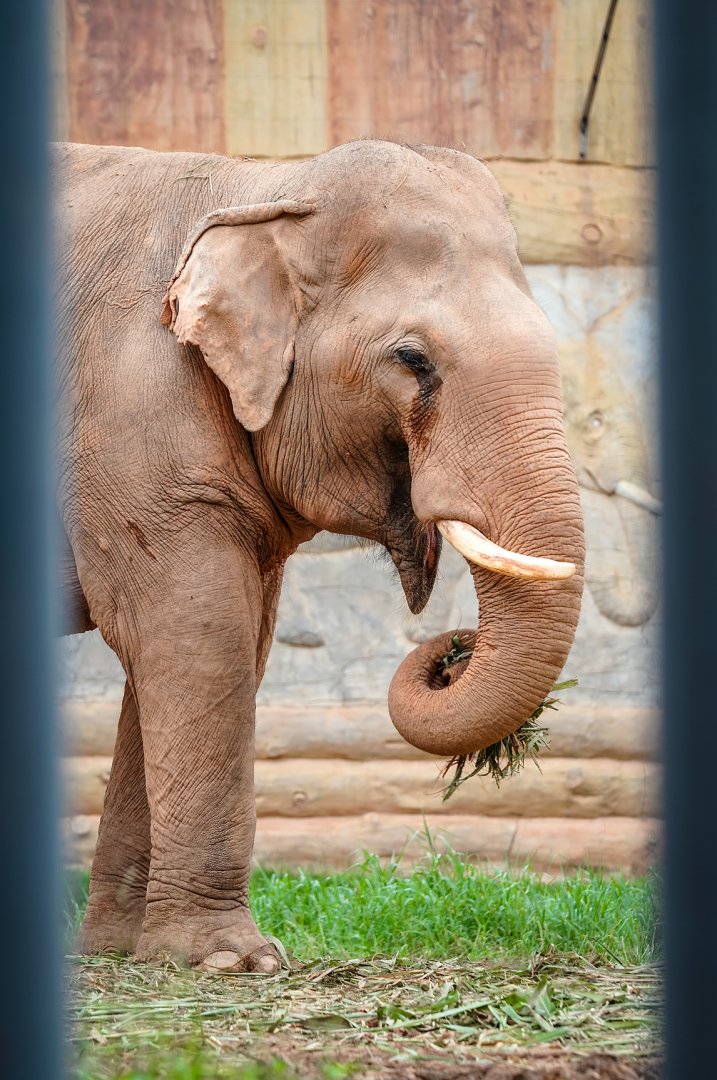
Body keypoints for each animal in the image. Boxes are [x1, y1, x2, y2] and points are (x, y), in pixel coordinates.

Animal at [56, 138, 584, 972]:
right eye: (412, 359)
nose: (453, 649)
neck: (264, 186)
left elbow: (212, 642)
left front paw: (123, 957)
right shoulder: (127, 413)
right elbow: (198, 635)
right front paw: (234, 962)